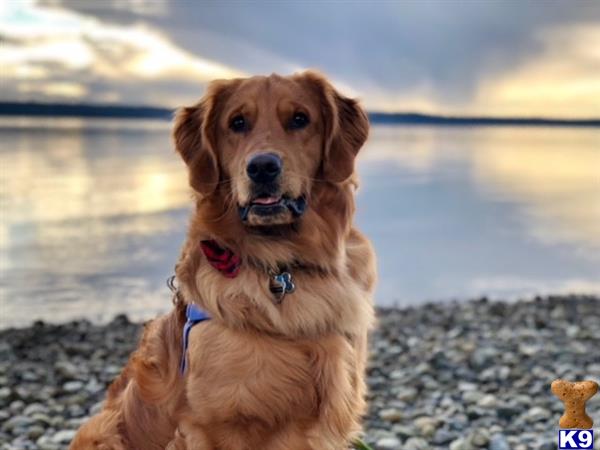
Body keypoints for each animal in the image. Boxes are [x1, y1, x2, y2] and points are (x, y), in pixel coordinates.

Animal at [71, 72, 376, 448]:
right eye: (237, 123)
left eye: (300, 119)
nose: (262, 167)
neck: (282, 266)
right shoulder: (214, 425)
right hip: (101, 430)